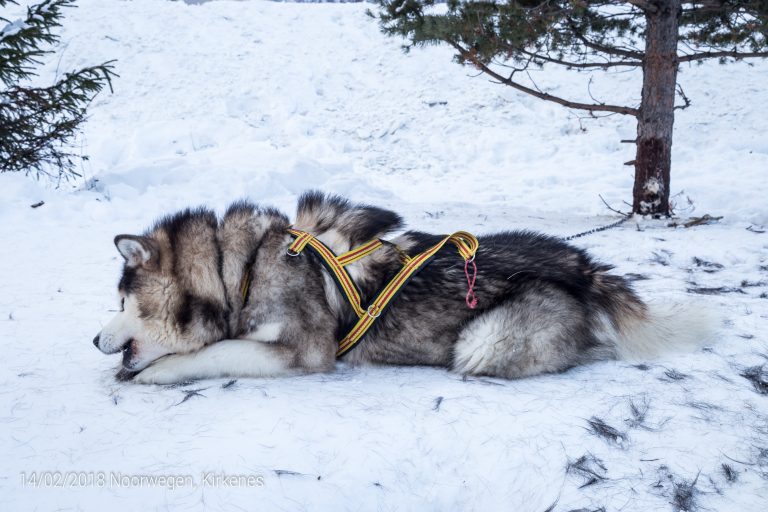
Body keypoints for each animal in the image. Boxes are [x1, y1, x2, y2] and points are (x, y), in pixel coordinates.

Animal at [94, 192, 712, 384]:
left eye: (122, 302)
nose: (96, 340)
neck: (239, 268)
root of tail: (580, 263)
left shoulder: (305, 350)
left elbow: (216, 350)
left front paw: (157, 372)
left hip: (482, 340)